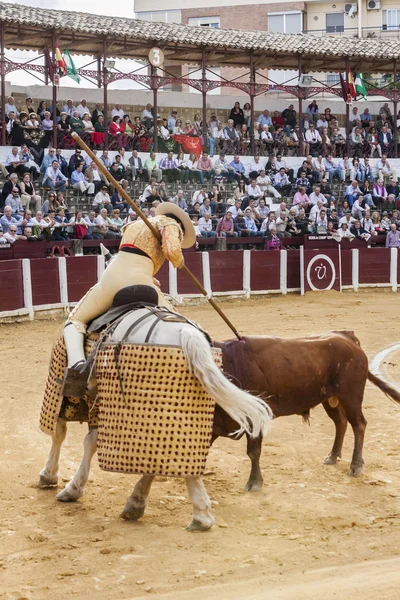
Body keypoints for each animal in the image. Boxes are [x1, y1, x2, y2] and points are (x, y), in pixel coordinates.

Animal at [37, 302, 272, 532]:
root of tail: (184, 332)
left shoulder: (66, 397)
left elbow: (62, 434)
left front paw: (53, 478)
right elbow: (91, 441)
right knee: (176, 454)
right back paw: (191, 514)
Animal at [212, 330, 400, 490]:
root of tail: (347, 337)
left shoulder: (254, 418)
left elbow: (253, 451)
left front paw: (254, 482)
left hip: (351, 397)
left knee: (359, 424)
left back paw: (356, 465)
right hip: (330, 399)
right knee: (341, 422)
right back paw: (332, 456)